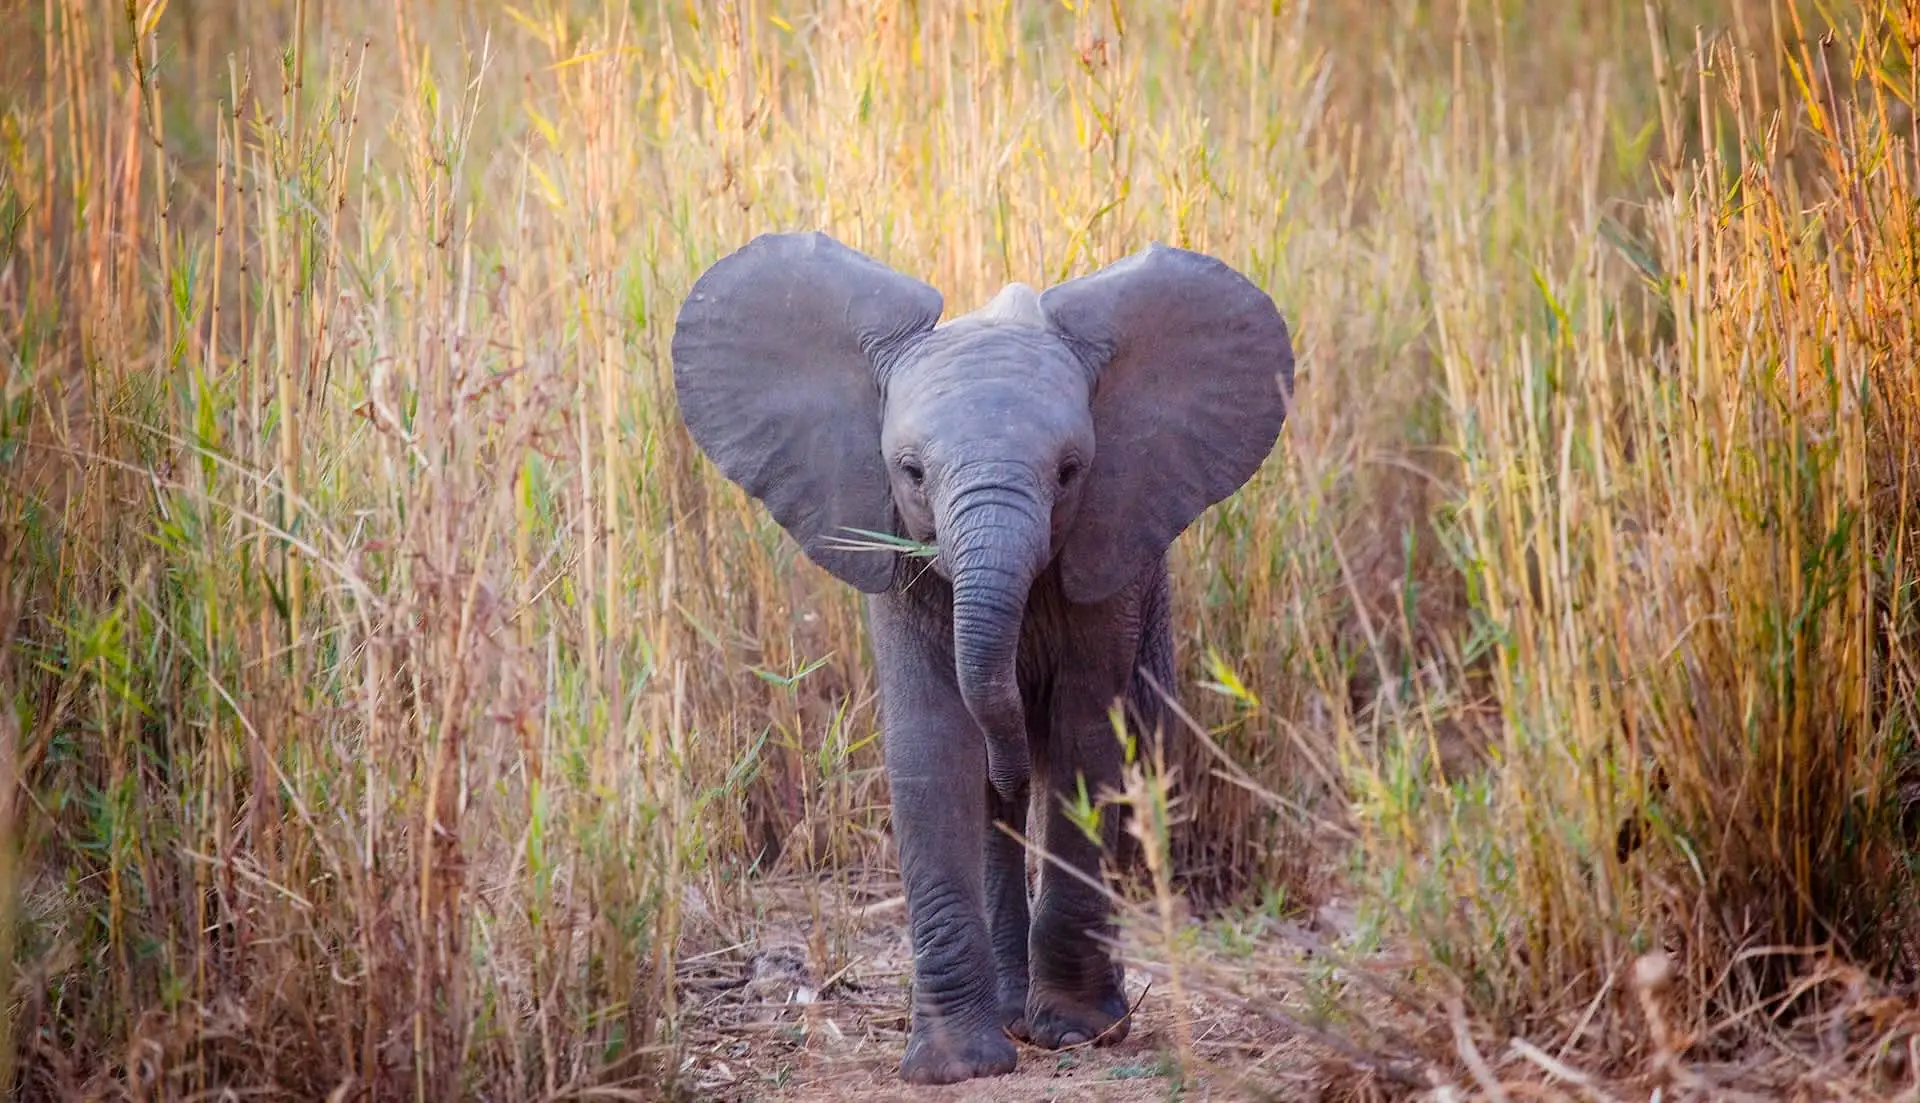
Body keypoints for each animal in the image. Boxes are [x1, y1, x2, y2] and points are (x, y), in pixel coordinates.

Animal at [670, 231, 1294, 1084]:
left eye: (1069, 471)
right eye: (911, 471)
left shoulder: (1111, 556)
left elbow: (1085, 737)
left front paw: (1074, 1033)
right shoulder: (897, 555)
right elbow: (933, 746)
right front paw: (955, 1066)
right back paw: (1007, 1010)